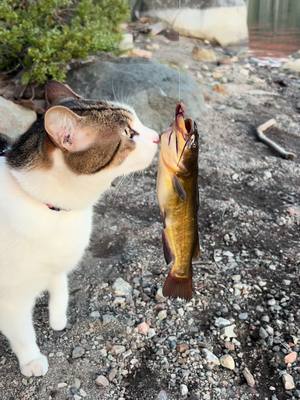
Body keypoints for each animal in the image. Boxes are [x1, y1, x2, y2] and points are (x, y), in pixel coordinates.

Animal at [0, 80, 159, 376]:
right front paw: (31, 359)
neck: (55, 212)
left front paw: (58, 316)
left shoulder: (59, 260)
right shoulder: (10, 297)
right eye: (129, 133)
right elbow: (22, 331)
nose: (157, 135)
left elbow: (59, 283)